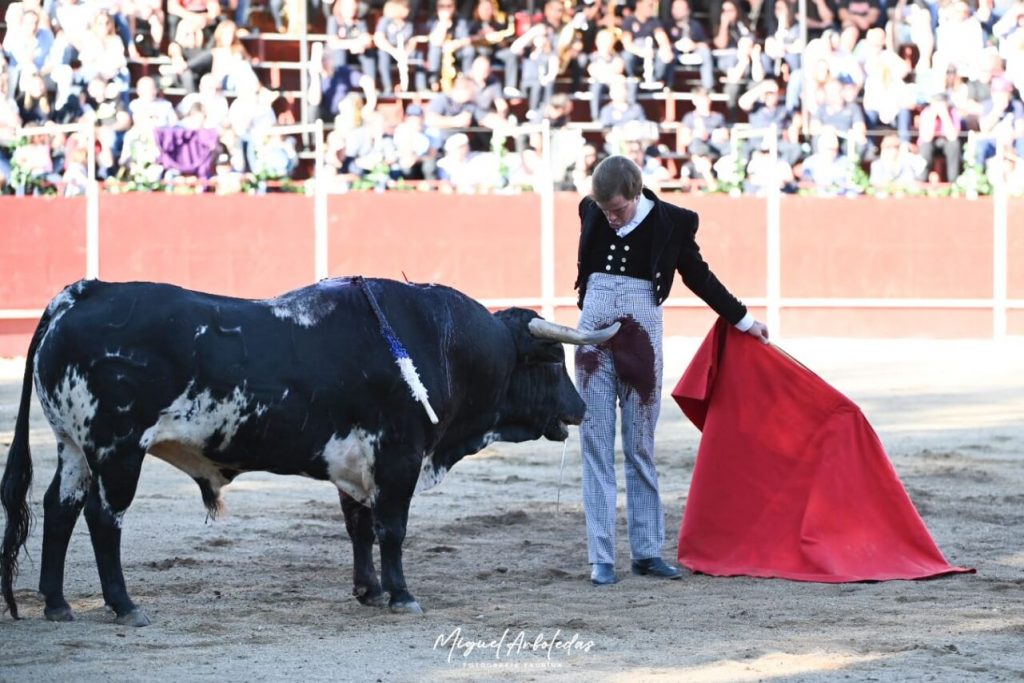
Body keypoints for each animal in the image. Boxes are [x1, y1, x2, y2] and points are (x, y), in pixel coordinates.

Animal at [4, 276, 618, 626]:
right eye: (550, 361)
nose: (580, 409)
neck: (444, 345)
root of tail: (81, 293)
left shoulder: (355, 463)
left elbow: (359, 527)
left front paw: (368, 590)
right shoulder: (398, 457)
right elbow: (392, 528)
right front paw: (401, 595)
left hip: (73, 447)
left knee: (60, 509)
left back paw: (57, 604)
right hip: (117, 450)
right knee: (103, 518)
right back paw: (125, 606)